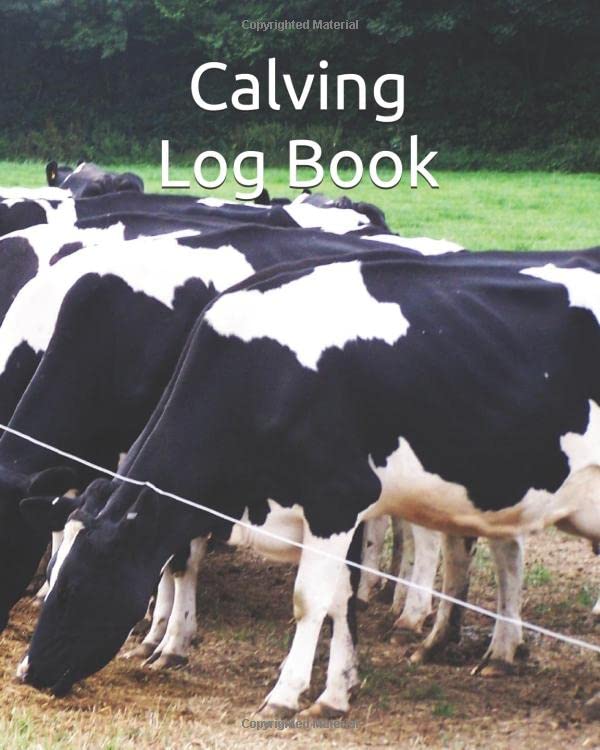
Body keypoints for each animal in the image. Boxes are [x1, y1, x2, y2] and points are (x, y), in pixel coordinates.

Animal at [21, 246, 600, 717]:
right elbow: (341, 599)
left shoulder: (337, 502)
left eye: (73, 587)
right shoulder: (341, 515)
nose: (28, 672)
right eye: (50, 574)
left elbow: (309, 599)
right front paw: (336, 694)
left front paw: (284, 695)